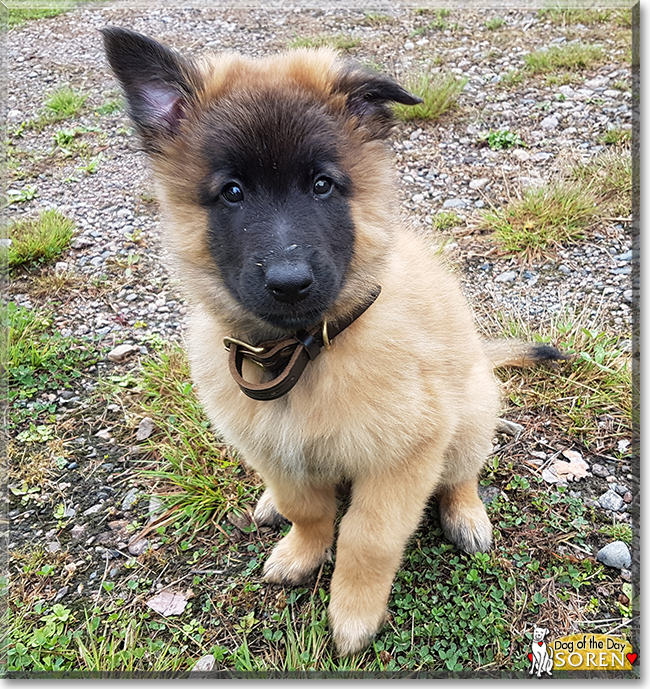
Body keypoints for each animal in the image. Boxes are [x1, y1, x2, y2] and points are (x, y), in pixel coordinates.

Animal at [101, 29, 560, 656]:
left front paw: (353, 612)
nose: (289, 282)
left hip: (468, 416)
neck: (304, 349)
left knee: (462, 472)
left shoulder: (404, 458)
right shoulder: (275, 448)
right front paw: (302, 550)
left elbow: (368, 536)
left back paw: (466, 514)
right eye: (232, 193)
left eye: (322, 185)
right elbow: (307, 509)